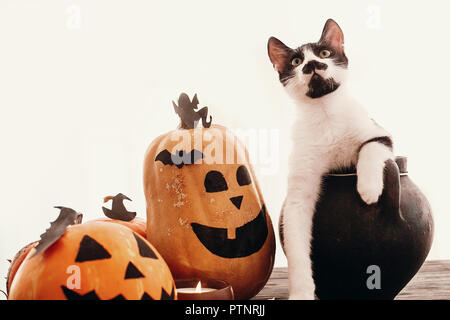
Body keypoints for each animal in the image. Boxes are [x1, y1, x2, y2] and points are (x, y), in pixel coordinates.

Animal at [268, 18, 394, 298]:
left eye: (324, 53)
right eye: (296, 61)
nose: (312, 64)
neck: (325, 115)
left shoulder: (379, 134)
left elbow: (369, 150)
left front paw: (368, 190)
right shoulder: (298, 193)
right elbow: (296, 244)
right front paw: (301, 292)